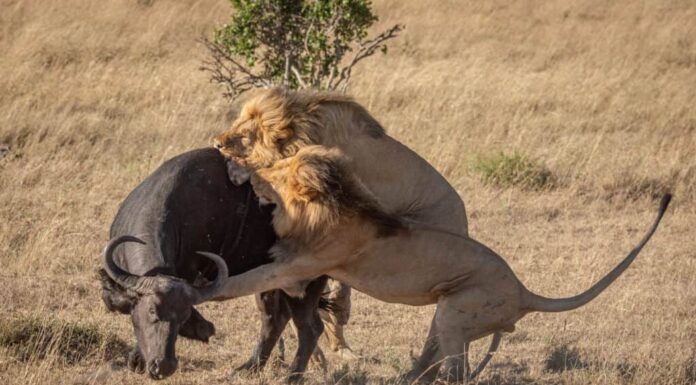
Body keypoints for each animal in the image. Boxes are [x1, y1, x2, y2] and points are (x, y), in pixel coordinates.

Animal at [209, 146, 672, 380]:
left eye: (276, 169)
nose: (242, 165)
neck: (337, 202)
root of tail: (524, 292)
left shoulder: (306, 262)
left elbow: (250, 278)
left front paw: (210, 287)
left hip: (458, 311)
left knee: (456, 372)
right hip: (450, 312)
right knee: (437, 360)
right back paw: (407, 377)